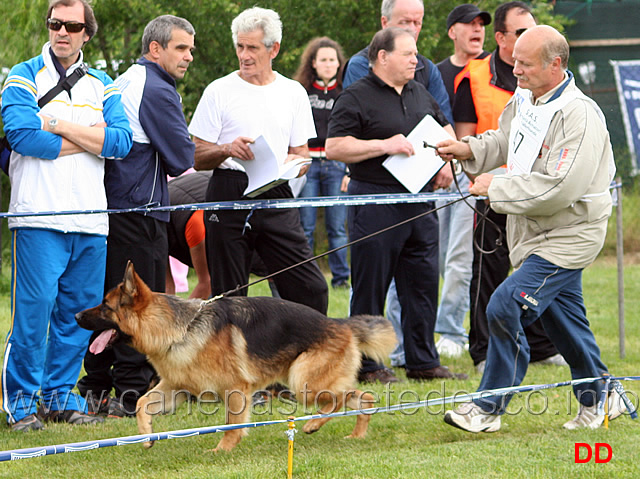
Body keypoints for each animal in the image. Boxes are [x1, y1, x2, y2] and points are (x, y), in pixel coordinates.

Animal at [75, 262, 396, 454]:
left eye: (105, 307)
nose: (76, 316)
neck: (177, 328)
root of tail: (341, 324)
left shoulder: (236, 389)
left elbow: (232, 422)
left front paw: (222, 449)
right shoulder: (175, 388)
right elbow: (142, 402)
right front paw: (147, 436)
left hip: (303, 381)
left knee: (337, 401)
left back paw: (313, 425)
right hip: (312, 382)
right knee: (364, 398)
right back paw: (357, 435)